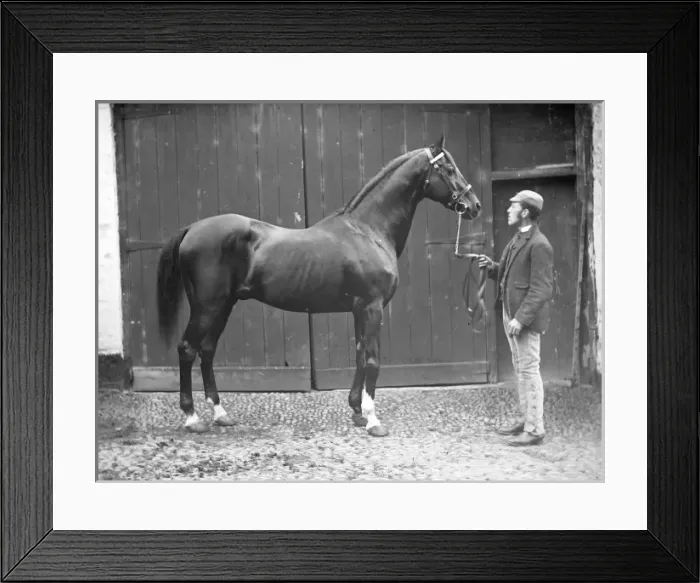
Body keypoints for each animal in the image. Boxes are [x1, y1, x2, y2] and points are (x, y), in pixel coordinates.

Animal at [156, 135, 482, 437]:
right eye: (448, 168)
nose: (475, 206)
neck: (368, 231)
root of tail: (191, 229)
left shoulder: (359, 309)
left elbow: (360, 354)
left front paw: (357, 412)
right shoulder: (373, 307)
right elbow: (373, 360)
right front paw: (373, 421)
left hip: (224, 306)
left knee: (207, 350)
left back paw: (221, 414)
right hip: (207, 307)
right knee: (187, 349)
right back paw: (192, 418)